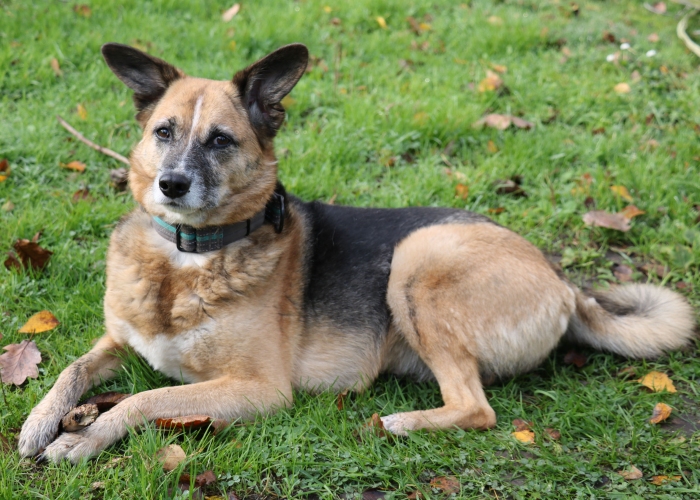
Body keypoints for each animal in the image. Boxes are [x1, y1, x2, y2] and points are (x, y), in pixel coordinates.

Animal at [16, 43, 696, 464]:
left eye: (221, 141)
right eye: (164, 132)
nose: (172, 185)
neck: (187, 258)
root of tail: (562, 285)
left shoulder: (257, 389)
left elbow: (145, 398)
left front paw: (84, 438)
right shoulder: (118, 340)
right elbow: (74, 367)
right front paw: (41, 420)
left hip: (418, 259)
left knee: (476, 409)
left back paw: (400, 422)